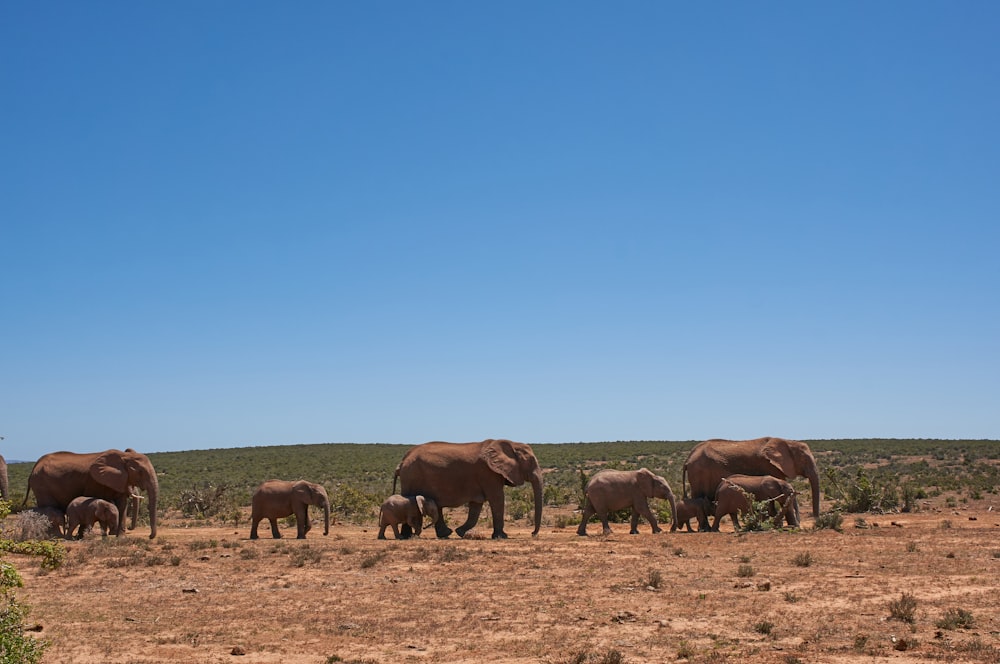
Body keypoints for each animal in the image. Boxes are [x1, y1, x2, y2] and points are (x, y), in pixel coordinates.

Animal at [24, 452, 158, 540]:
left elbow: (122, 504)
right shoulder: (94, 481)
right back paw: (54, 537)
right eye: (140, 472)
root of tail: (34, 466)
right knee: (50, 509)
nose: (150, 536)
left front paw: (120, 537)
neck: (124, 457)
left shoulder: (120, 481)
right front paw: (83, 536)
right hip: (41, 485)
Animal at [392, 436, 548, 540]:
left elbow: (476, 507)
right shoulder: (488, 473)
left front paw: (460, 532)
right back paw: (408, 537)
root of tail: (401, 462)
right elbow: (497, 499)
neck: (510, 444)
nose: (532, 534)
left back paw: (444, 535)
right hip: (412, 477)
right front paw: (501, 537)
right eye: (531, 461)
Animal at [688, 436, 820, 520]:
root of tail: (689, 457)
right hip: (699, 474)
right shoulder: (770, 466)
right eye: (804, 460)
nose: (815, 519)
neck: (788, 442)